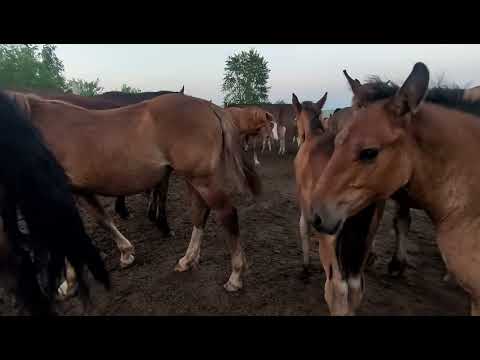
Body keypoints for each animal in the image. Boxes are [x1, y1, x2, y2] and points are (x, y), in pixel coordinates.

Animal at [4, 90, 258, 298]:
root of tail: (209, 106)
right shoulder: (80, 192)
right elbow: (102, 219)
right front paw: (126, 254)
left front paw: (68, 285)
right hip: (194, 180)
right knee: (199, 213)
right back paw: (187, 260)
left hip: (202, 179)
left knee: (227, 215)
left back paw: (235, 277)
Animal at [290, 93, 384, 316]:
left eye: (295, 116)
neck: (313, 135)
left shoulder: (305, 209)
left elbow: (303, 230)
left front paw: (305, 269)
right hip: (364, 239)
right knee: (356, 286)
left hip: (330, 238)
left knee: (338, 288)